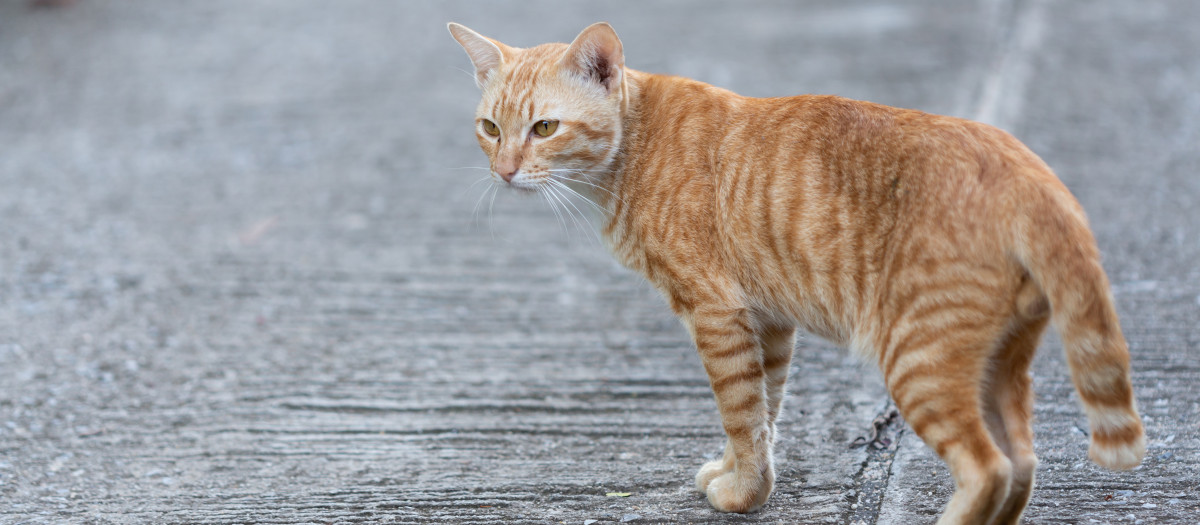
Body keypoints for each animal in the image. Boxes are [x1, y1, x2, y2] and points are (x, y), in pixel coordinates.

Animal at [448, 21, 1142, 525]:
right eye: (490, 128)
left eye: (544, 128)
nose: (504, 171)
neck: (633, 148)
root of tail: (1029, 169)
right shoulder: (769, 319)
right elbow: (764, 409)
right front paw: (743, 473)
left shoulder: (717, 312)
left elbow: (739, 408)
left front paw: (743, 494)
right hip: (999, 363)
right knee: (1022, 462)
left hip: (919, 358)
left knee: (988, 468)